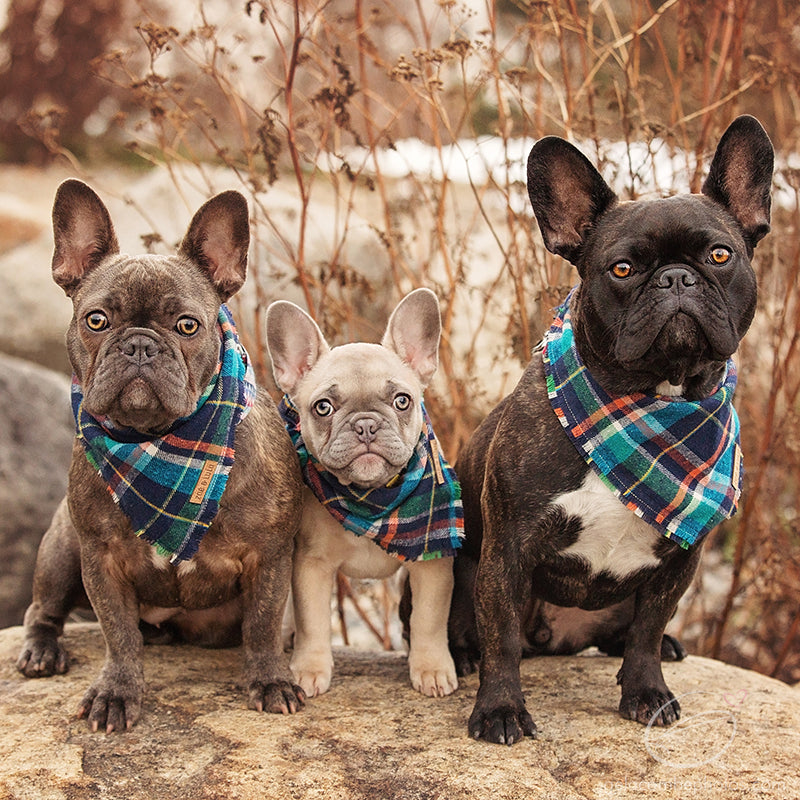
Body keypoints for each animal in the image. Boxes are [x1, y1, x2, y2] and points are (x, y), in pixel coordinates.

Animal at [268, 290, 462, 696]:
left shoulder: (431, 564)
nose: (366, 425)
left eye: (402, 400)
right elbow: (312, 621)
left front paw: (432, 668)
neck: (373, 502)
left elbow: (428, 619)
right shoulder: (311, 565)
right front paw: (310, 668)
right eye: (323, 407)